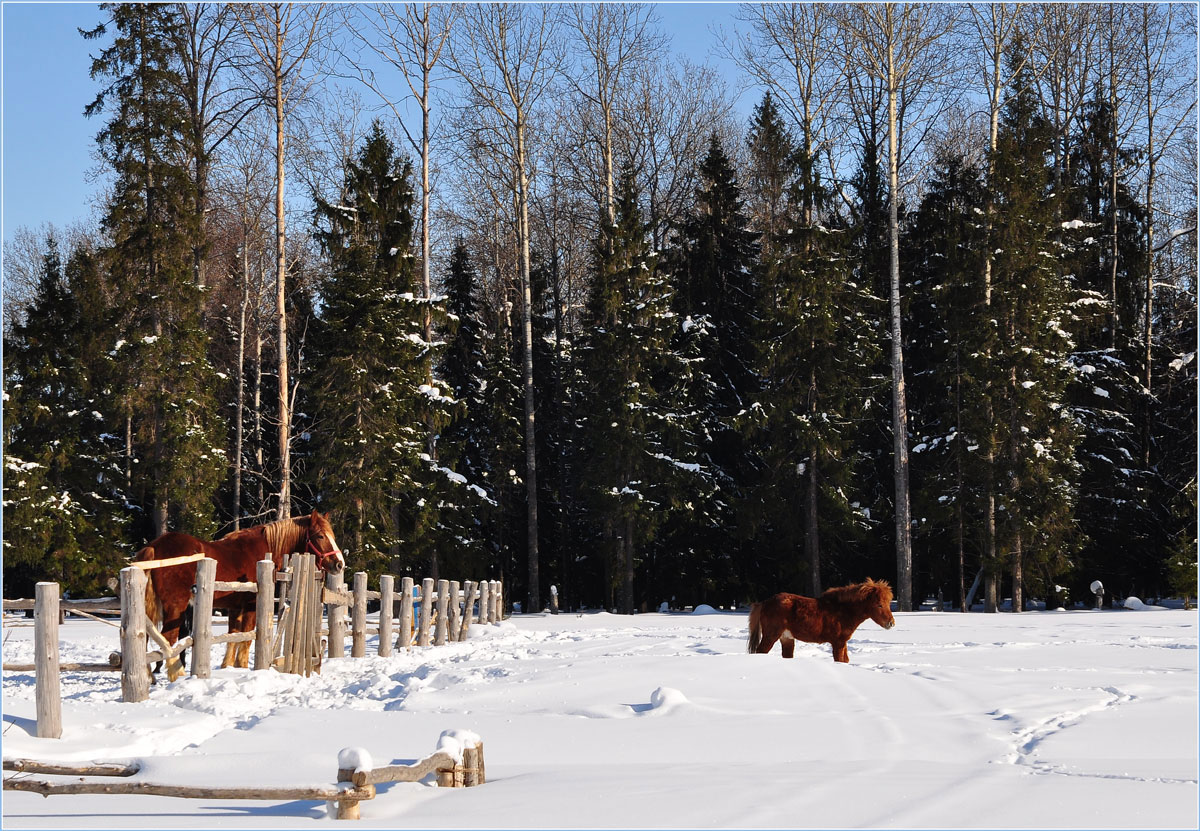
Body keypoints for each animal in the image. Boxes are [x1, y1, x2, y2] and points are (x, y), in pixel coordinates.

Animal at [134, 506, 345, 677]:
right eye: (320, 536)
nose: (339, 564)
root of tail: (154, 547)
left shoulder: (234, 608)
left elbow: (233, 637)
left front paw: (228, 667)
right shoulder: (251, 606)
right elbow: (246, 639)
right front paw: (243, 667)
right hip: (176, 606)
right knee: (168, 640)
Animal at [744, 578, 897, 662]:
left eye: (889, 602)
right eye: (879, 604)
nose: (891, 623)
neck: (843, 610)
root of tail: (764, 602)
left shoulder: (843, 643)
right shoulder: (838, 643)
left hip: (786, 638)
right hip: (771, 636)